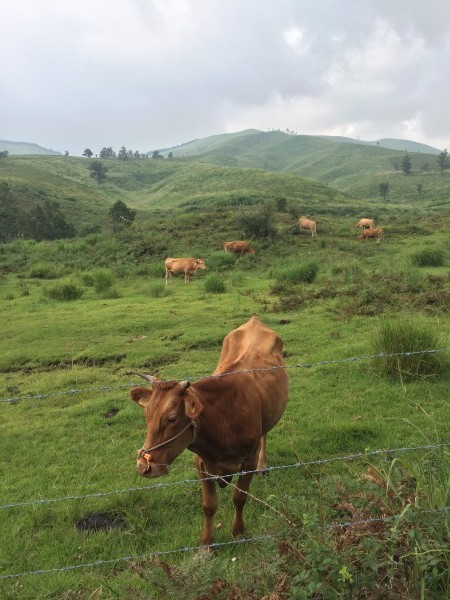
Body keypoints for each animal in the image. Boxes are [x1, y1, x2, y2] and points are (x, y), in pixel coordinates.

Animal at [130, 316, 288, 548]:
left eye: (172, 419)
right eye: (146, 415)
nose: (143, 467)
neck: (222, 420)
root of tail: (254, 320)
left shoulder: (248, 461)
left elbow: (239, 498)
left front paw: (238, 532)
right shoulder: (201, 463)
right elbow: (209, 505)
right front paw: (206, 545)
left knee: (264, 435)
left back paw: (264, 465)